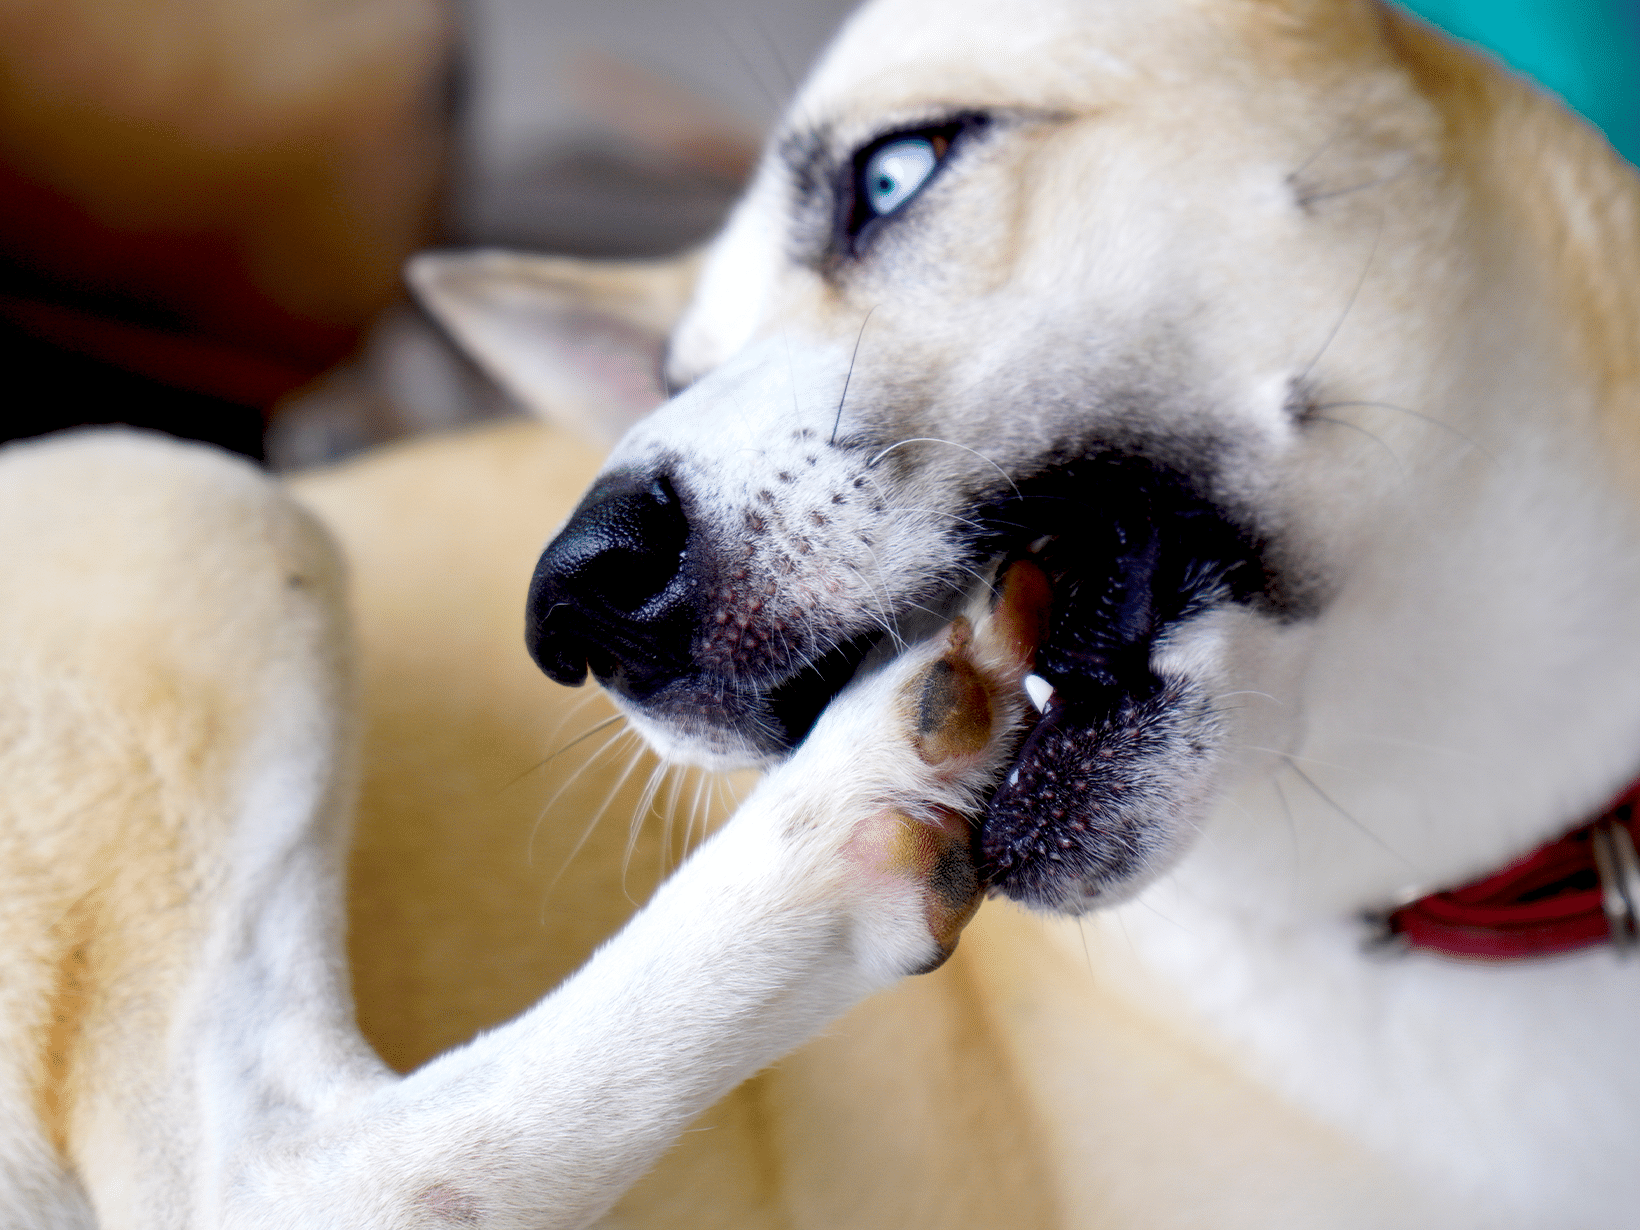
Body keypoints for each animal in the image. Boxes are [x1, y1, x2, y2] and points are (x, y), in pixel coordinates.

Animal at [3, 0, 1640, 1226]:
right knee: (282, 1178)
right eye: (672, 377)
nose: (573, 599)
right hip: (185, 489)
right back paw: (832, 829)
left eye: (897, 173)